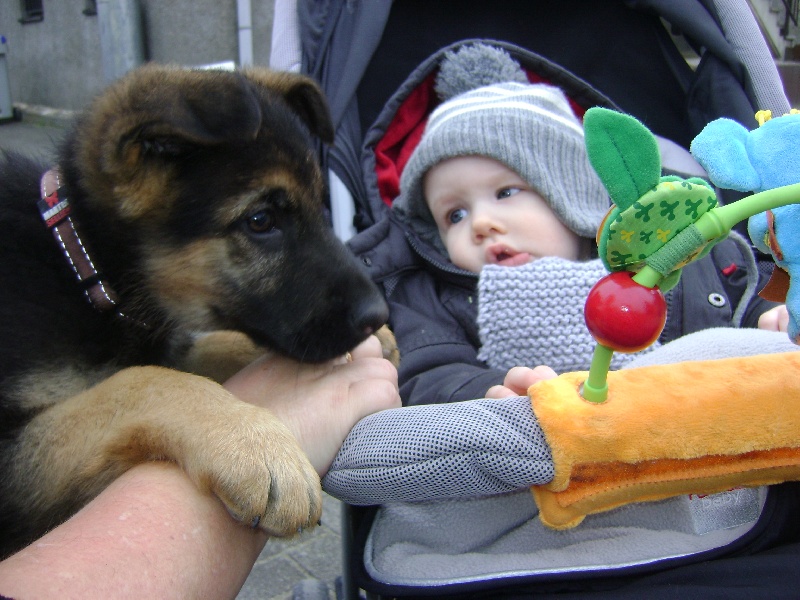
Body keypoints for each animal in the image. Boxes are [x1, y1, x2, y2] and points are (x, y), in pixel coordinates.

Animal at [0, 64, 389, 558]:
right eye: (260, 221)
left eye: (322, 208)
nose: (378, 315)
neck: (85, 267)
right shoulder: (9, 454)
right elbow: (140, 382)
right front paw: (255, 445)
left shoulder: (175, 347)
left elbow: (211, 349)